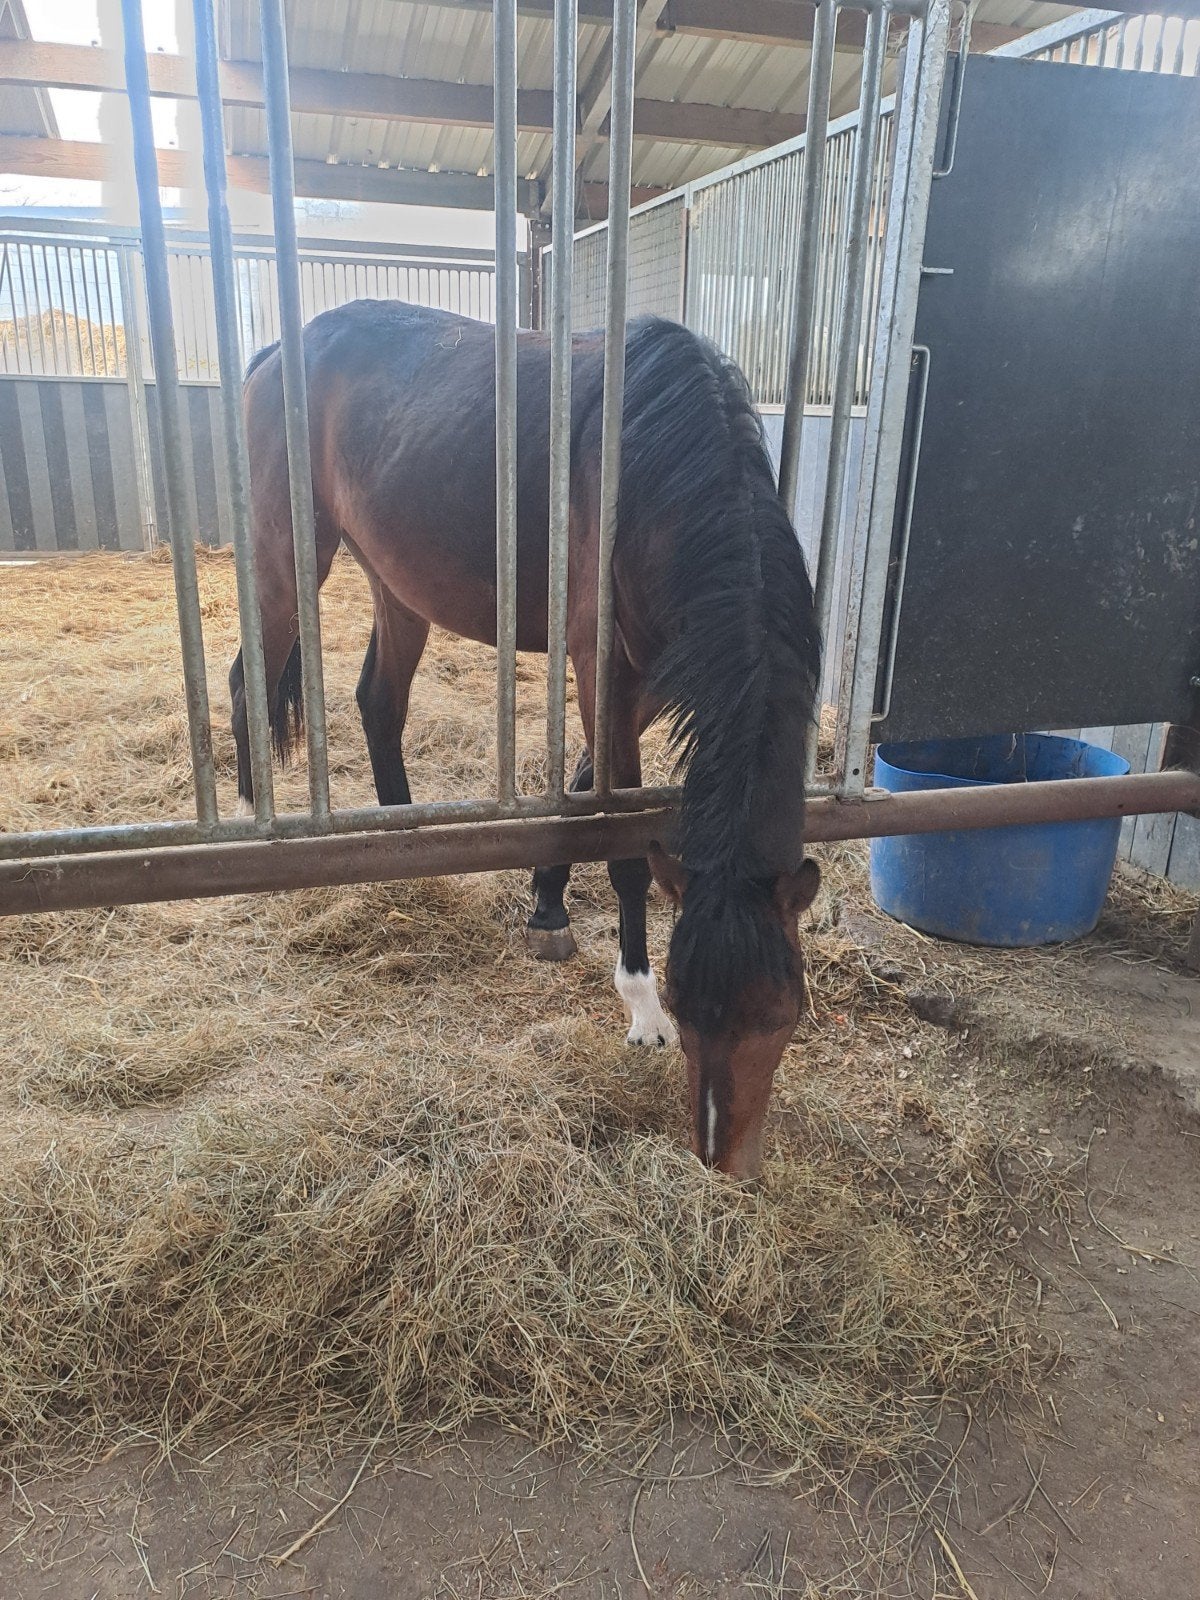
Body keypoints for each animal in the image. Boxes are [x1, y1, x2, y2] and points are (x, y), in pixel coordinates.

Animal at [232, 300, 822, 1178]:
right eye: (688, 1009)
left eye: (782, 1016)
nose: (722, 1156)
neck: (658, 459)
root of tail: (279, 350)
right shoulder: (602, 661)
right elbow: (621, 836)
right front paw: (637, 1002)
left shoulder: (651, 672)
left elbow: (583, 789)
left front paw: (547, 904)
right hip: (284, 558)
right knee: (249, 681)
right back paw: (246, 823)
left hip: (396, 582)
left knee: (378, 701)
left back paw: (405, 848)